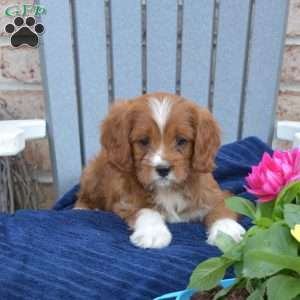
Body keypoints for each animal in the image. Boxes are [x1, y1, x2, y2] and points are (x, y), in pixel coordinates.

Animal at [74, 93, 244, 248]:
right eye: (143, 141)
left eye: (182, 141)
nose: (163, 169)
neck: (168, 189)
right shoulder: (127, 201)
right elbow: (146, 210)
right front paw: (153, 233)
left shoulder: (215, 194)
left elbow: (223, 207)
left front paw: (228, 232)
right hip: (92, 175)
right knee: (83, 196)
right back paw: (83, 209)